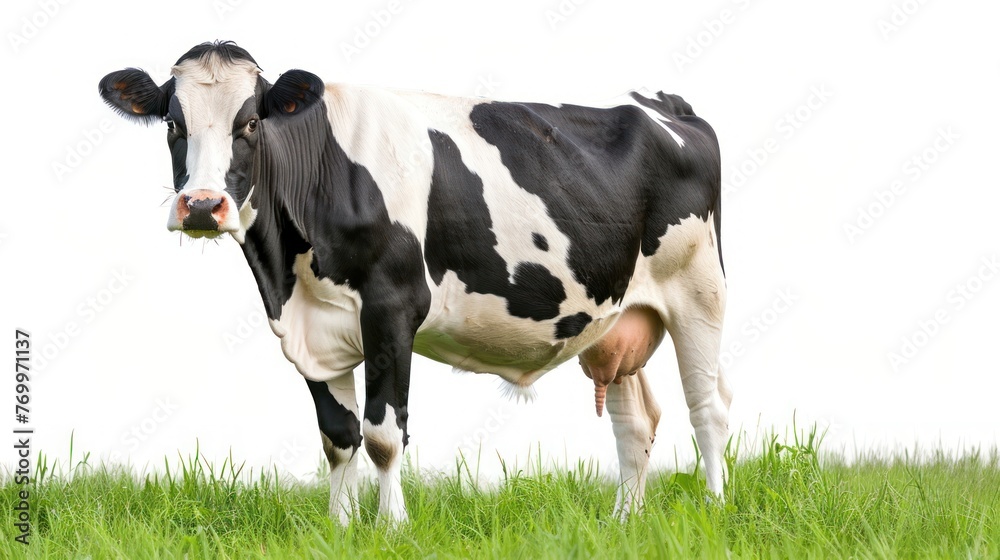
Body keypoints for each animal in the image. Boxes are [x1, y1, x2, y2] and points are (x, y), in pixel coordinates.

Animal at [98, 41, 732, 524]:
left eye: (250, 121)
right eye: (173, 123)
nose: (203, 206)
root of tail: (664, 103)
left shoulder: (391, 308)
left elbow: (383, 433)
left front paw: (392, 526)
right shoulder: (313, 327)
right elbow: (338, 434)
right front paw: (339, 527)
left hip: (700, 291)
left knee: (708, 407)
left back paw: (713, 510)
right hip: (617, 314)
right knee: (637, 422)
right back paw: (624, 521)